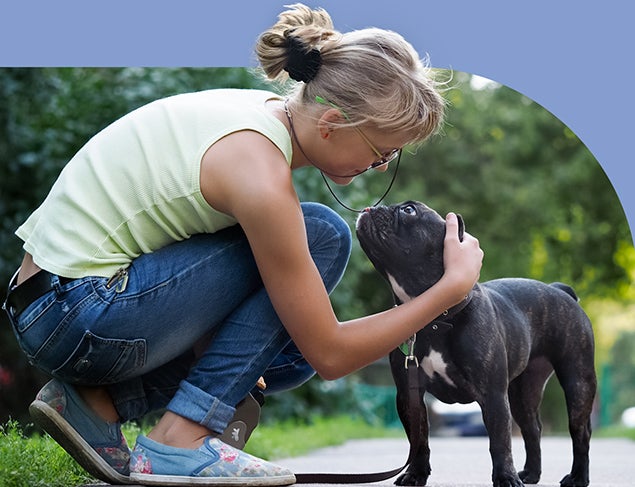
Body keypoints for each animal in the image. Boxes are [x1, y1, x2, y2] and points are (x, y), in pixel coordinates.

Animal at [358, 200, 596, 486]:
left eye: (409, 210)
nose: (371, 206)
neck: (436, 317)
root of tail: (560, 290)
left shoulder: (493, 395)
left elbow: (500, 441)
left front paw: (504, 478)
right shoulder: (409, 394)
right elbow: (419, 439)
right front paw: (415, 474)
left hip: (577, 381)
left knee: (580, 431)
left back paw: (577, 477)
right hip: (522, 391)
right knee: (532, 428)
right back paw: (530, 473)